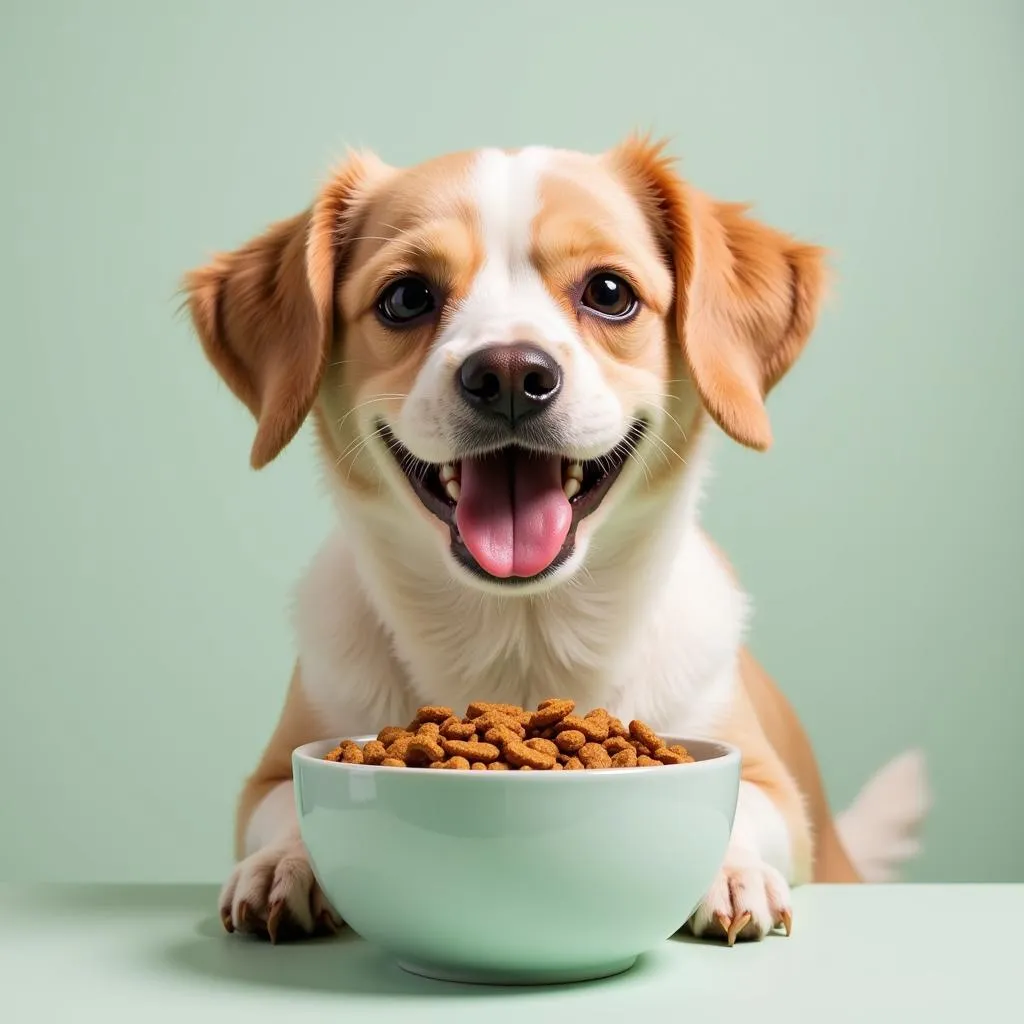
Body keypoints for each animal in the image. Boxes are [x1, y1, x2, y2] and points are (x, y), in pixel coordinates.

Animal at [184, 134, 929, 942]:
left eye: (609, 291)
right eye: (406, 298)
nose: (510, 372)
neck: (521, 642)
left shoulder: (774, 786)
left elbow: (744, 806)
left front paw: (730, 871)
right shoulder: (269, 774)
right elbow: (285, 805)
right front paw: (283, 864)